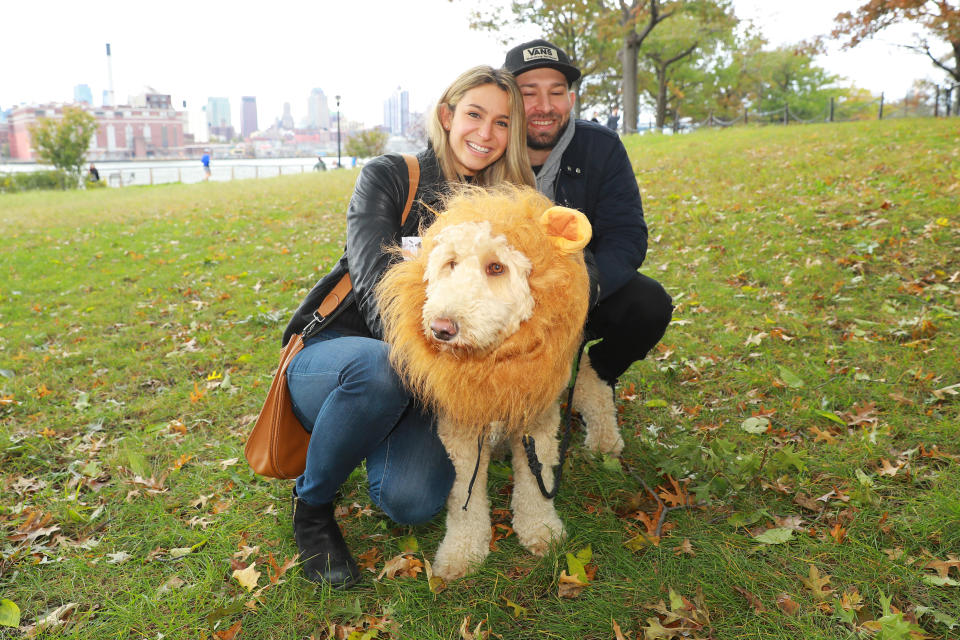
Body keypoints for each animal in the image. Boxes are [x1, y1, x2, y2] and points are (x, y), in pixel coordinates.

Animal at [372, 184, 620, 580]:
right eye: (450, 263)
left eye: (496, 267)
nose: (441, 329)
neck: (489, 365)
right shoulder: (460, 428)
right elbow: (464, 495)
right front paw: (461, 552)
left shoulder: (538, 414)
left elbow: (535, 483)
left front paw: (540, 530)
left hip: (569, 373)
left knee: (595, 389)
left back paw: (606, 441)